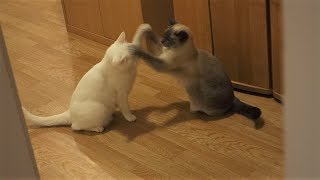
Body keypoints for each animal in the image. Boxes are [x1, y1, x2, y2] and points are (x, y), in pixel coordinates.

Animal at [23, 24, 152, 132]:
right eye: (130, 57)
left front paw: (143, 28)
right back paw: (99, 127)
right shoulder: (121, 93)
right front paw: (130, 117)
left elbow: (137, 39)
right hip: (99, 108)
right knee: (75, 127)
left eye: (134, 51)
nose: (138, 54)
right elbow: (125, 107)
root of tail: (69, 112)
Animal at [130, 21, 262, 121]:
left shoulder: (163, 64)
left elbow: (146, 54)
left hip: (205, 102)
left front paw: (134, 49)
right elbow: (153, 37)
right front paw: (146, 29)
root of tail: (232, 99)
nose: (163, 41)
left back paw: (194, 110)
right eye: (164, 35)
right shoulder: (162, 51)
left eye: (169, 39)